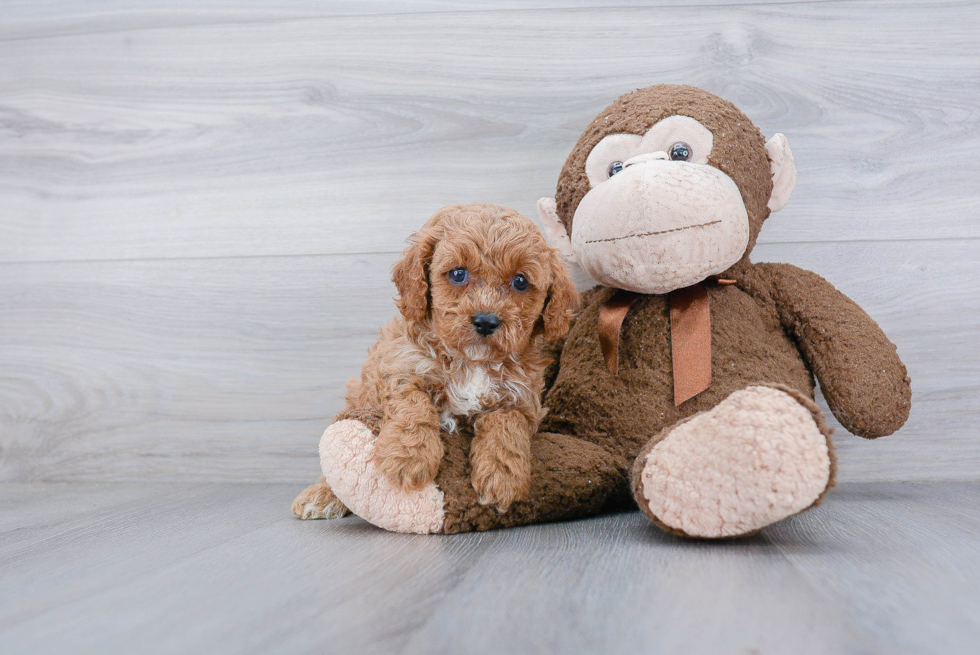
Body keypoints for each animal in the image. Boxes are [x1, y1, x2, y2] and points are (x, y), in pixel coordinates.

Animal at [290, 202, 580, 520]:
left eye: (520, 281)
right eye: (457, 274)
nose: (485, 321)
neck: (472, 363)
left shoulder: (521, 399)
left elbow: (507, 425)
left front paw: (501, 477)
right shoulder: (401, 366)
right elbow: (413, 405)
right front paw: (409, 457)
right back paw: (322, 495)